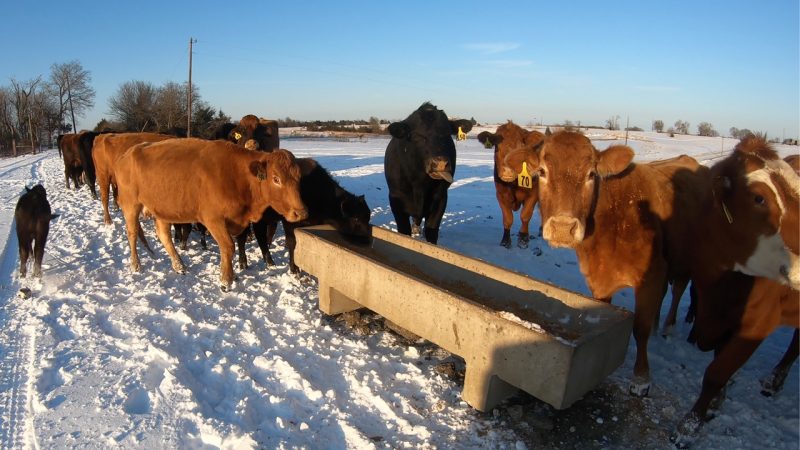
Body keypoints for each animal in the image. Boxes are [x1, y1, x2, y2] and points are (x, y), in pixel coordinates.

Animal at [114, 139, 308, 290]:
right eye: (276, 179)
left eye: (299, 177)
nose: (301, 212)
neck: (238, 177)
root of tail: (127, 153)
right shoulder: (213, 219)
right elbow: (228, 247)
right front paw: (226, 281)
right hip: (131, 205)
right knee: (132, 233)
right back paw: (136, 265)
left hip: (162, 208)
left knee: (164, 235)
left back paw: (179, 265)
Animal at [238, 158, 372, 270]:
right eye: (355, 219)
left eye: (368, 217)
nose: (367, 241)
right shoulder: (290, 223)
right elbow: (292, 243)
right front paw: (295, 269)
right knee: (243, 238)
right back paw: (244, 263)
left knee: (264, 234)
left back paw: (269, 260)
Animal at [382, 103, 472, 244]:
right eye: (418, 135)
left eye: (447, 134)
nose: (440, 163)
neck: (420, 184)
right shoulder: (396, 199)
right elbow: (403, 232)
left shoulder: (441, 199)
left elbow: (431, 231)